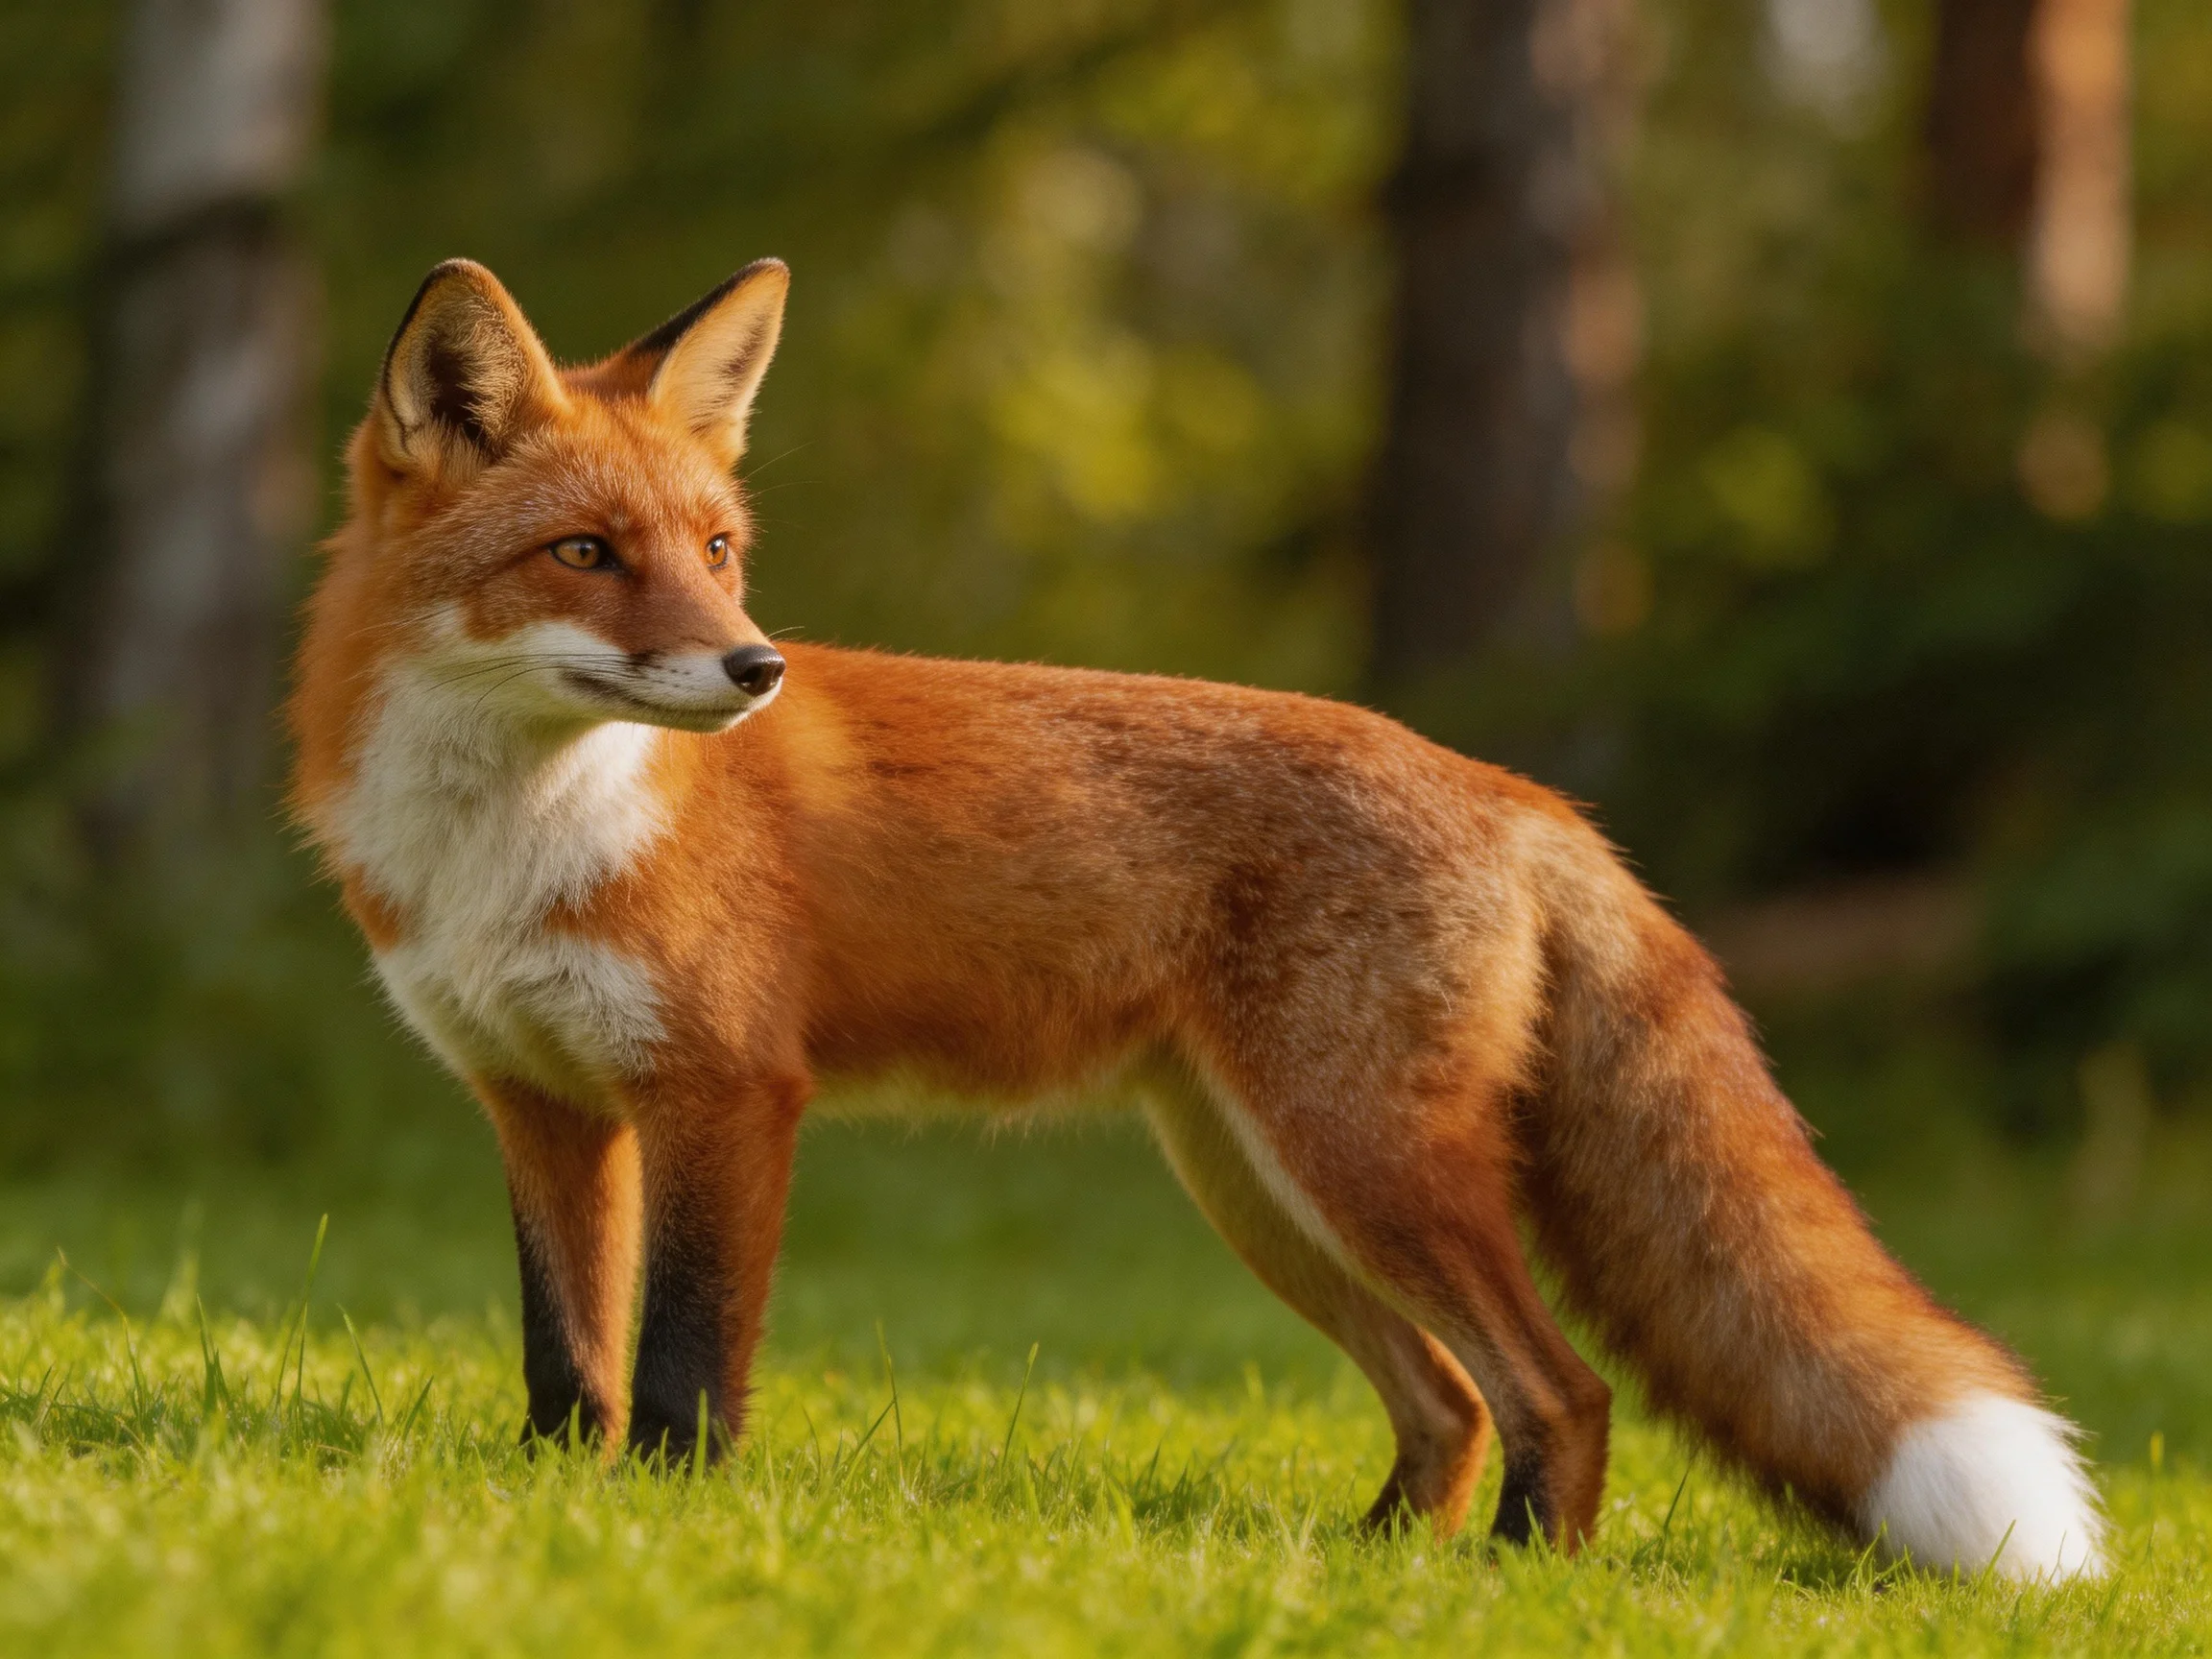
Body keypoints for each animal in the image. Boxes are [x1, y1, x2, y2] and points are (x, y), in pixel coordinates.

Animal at [290, 255, 2105, 1580]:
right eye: (586, 552)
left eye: (719, 548)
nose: (755, 669)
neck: (516, 830)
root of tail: (1514, 790)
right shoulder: (540, 1100)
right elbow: (567, 1362)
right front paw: (555, 1509)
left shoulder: (726, 1092)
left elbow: (678, 1368)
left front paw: (668, 1528)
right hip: (1262, 1190)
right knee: (1451, 1403)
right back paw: (1368, 1572)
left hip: (1358, 1165)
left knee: (1560, 1386)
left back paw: (1516, 1584)